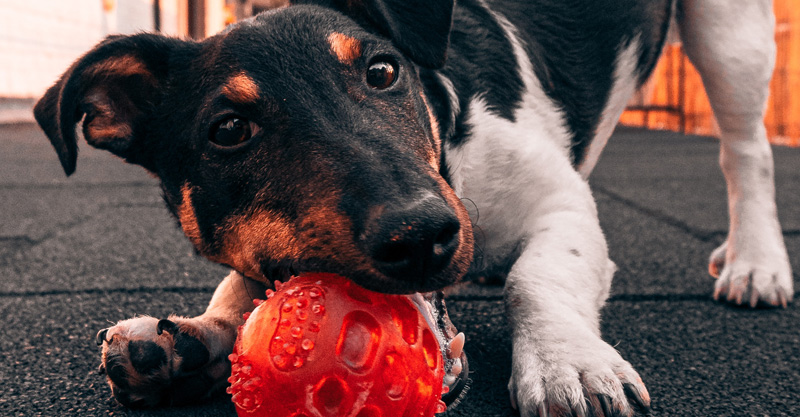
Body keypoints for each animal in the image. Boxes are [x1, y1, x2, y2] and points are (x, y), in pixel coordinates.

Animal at [34, 0, 792, 414]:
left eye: (381, 71)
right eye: (227, 131)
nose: (423, 233)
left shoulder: (560, 205)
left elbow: (538, 277)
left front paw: (567, 362)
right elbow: (239, 288)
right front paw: (191, 338)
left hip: (730, 37)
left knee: (746, 150)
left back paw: (755, 261)